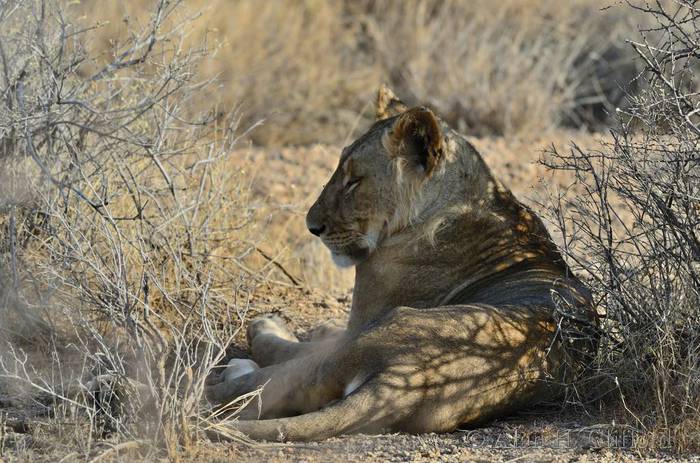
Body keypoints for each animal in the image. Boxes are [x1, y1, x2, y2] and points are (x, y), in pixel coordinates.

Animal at [205, 86, 597, 442]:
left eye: (354, 180)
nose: (312, 226)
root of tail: (412, 380)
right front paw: (320, 327)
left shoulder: (362, 320)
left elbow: (302, 346)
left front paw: (275, 327)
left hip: (375, 332)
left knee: (271, 379)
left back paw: (230, 371)